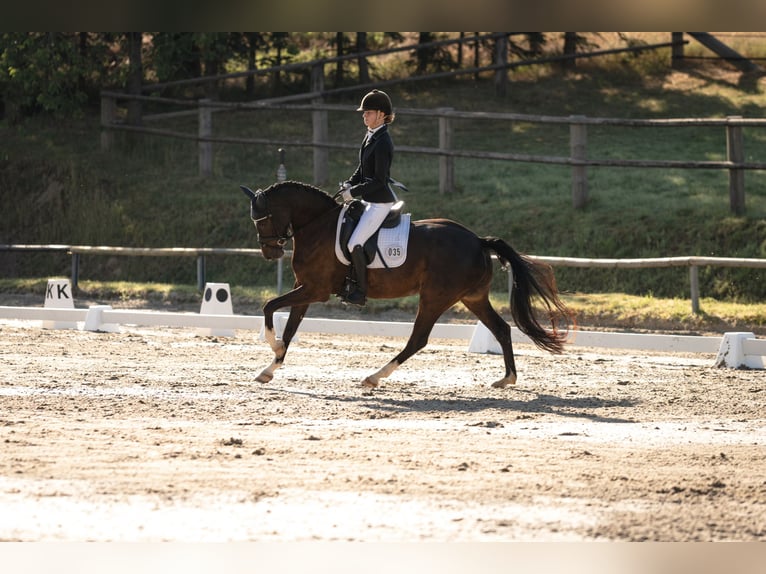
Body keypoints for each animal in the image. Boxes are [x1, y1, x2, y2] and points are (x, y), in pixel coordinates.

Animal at [243, 182, 572, 390]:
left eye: (264, 219)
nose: (269, 253)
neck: (317, 225)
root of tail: (478, 240)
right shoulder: (305, 288)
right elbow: (290, 327)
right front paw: (269, 368)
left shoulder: (315, 290)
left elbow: (270, 307)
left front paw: (273, 346)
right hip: (472, 297)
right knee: (501, 329)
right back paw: (507, 379)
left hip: (435, 297)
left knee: (418, 339)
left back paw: (375, 377)